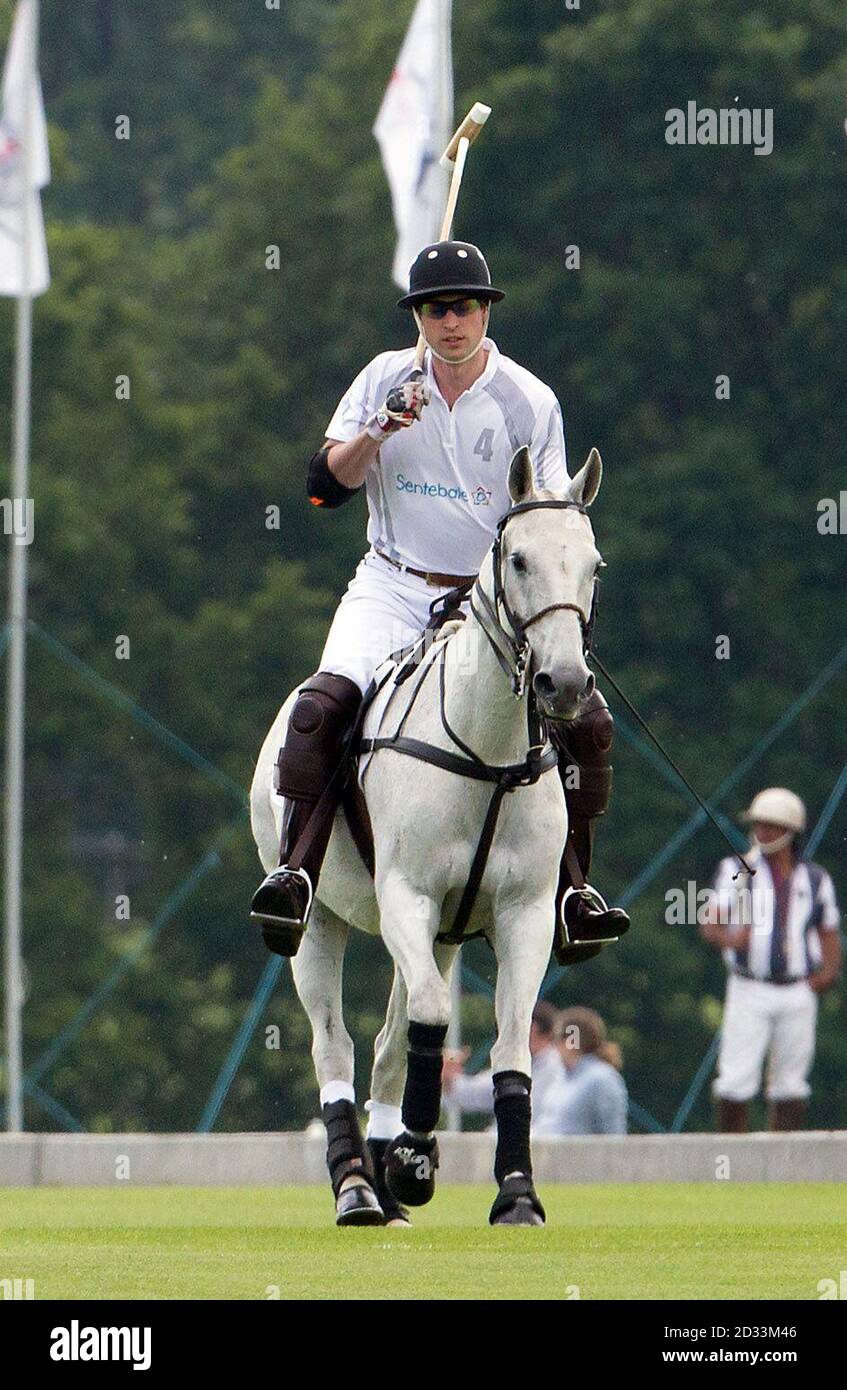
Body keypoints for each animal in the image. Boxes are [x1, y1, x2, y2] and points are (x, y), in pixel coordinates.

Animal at [247, 444, 603, 1228]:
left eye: (593, 564)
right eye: (518, 558)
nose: (564, 683)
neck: (488, 751)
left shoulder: (522, 912)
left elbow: (508, 1045)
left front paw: (516, 1191)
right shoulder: (407, 895)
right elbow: (433, 1018)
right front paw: (413, 1160)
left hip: (442, 933)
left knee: (386, 1042)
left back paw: (386, 1188)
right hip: (322, 919)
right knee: (336, 1044)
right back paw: (357, 1187)